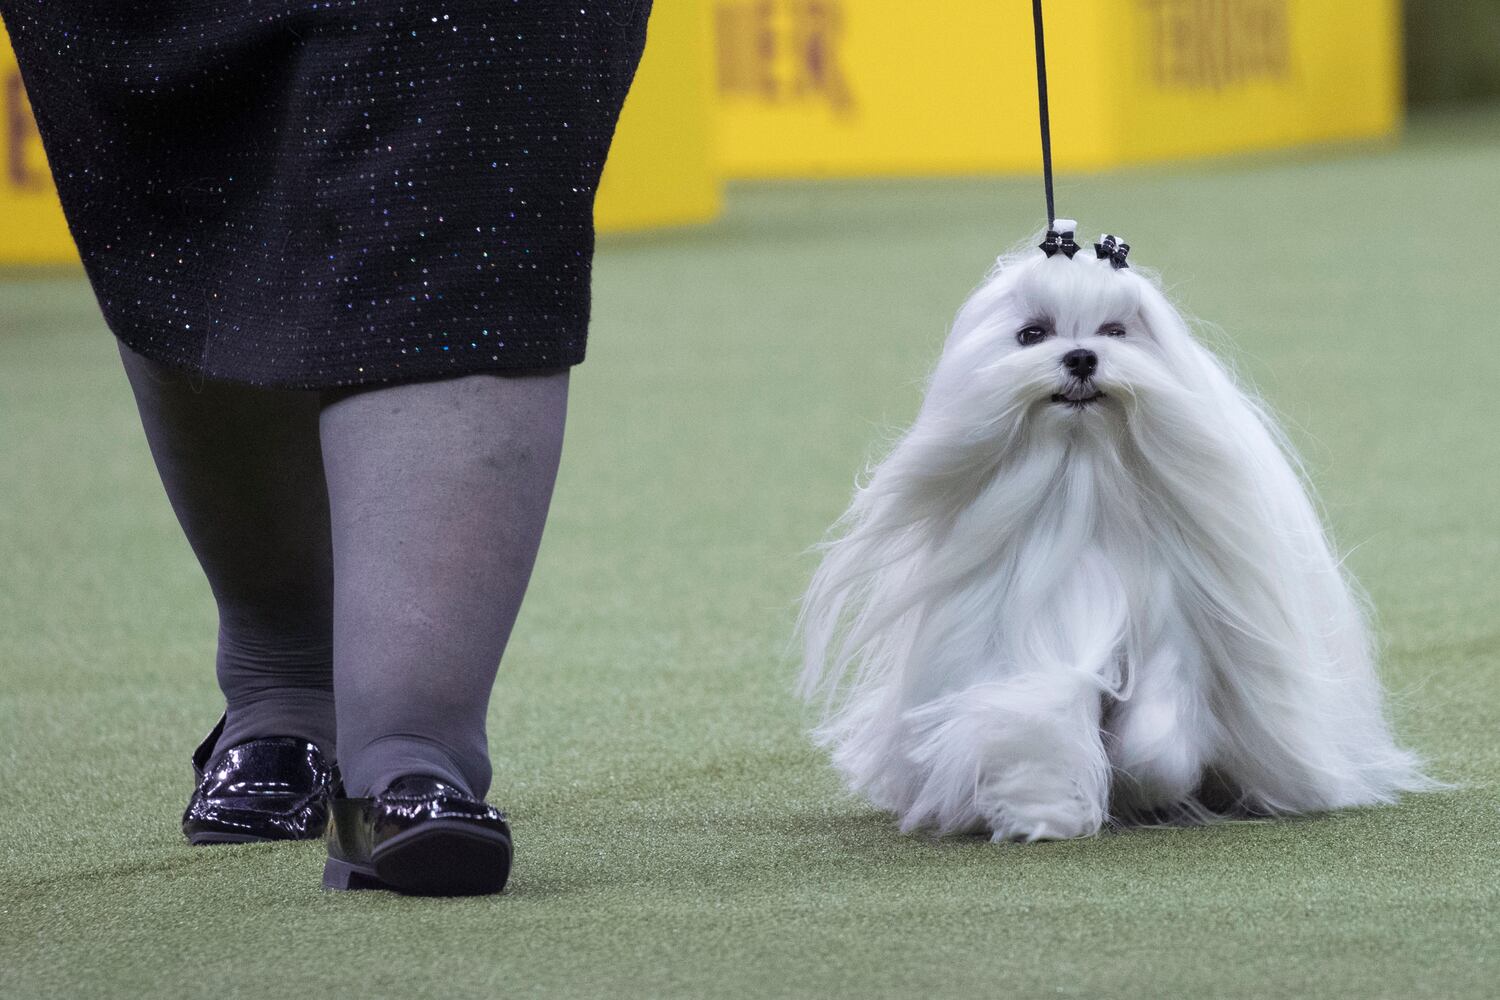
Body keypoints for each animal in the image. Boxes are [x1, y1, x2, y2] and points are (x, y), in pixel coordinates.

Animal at [798, 223, 1428, 839]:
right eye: (1032, 334)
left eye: (1116, 331)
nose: (1081, 357)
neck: (1085, 483)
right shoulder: (1032, 625)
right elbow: (1034, 714)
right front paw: (1038, 808)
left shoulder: (1172, 628)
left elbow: (1160, 734)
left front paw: (1141, 787)